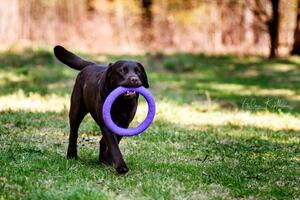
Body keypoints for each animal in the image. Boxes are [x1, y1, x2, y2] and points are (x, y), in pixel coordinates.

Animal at [53, 45, 149, 173]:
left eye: (138, 71)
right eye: (122, 70)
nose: (134, 79)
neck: (120, 102)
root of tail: (90, 65)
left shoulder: (124, 123)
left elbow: (114, 141)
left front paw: (107, 159)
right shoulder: (106, 123)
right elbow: (113, 145)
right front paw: (121, 166)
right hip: (76, 110)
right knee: (73, 133)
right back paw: (72, 155)